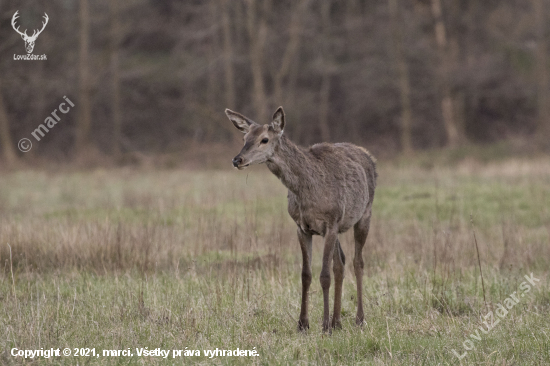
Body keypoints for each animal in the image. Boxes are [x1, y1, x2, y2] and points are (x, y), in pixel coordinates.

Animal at [226, 106, 378, 332]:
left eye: (264, 139)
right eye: (245, 137)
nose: (237, 160)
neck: (307, 191)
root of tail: (368, 155)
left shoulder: (330, 223)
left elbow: (324, 275)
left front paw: (324, 326)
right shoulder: (302, 227)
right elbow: (306, 275)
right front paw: (303, 324)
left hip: (364, 214)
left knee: (357, 262)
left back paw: (358, 319)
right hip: (339, 226)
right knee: (340, 263)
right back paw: (338, 321)